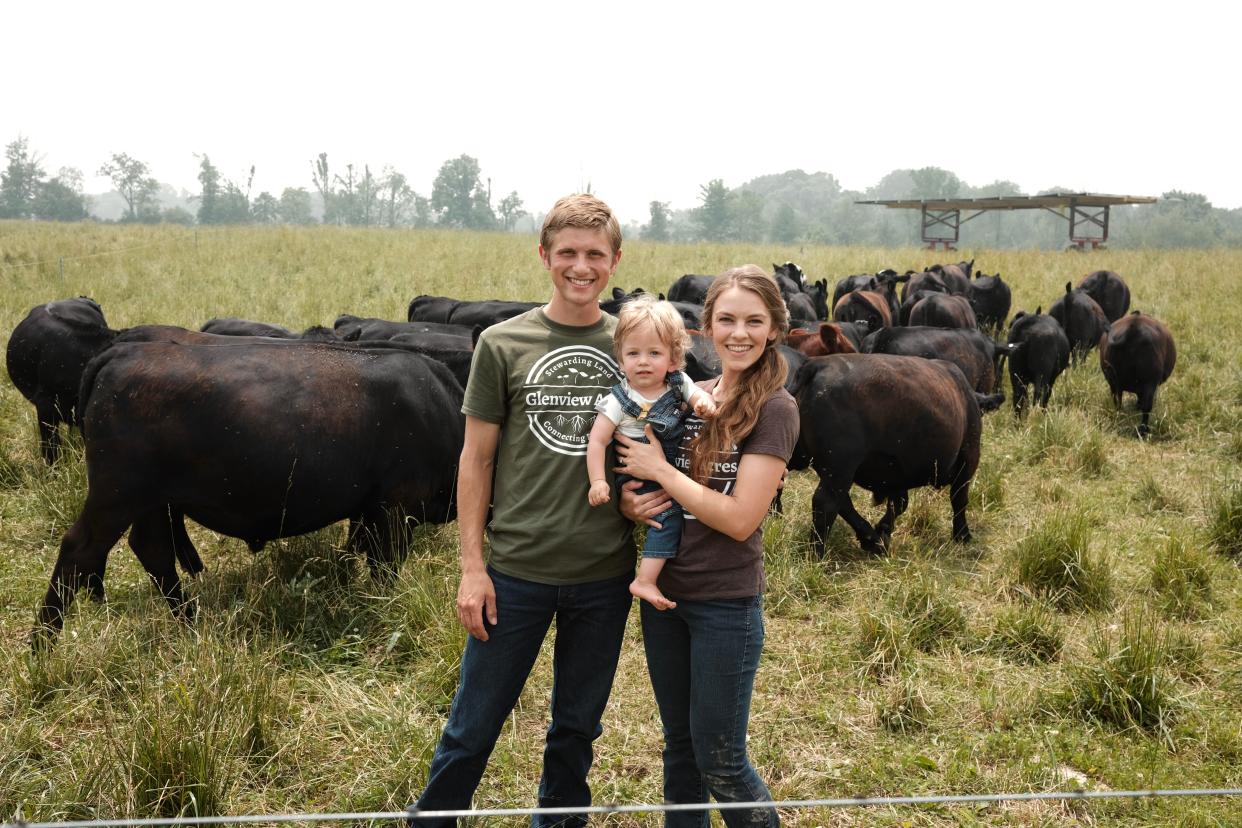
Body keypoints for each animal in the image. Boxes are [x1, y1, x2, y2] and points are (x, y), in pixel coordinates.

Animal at [37, 340, 466, 645]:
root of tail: (121, 353)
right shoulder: (396, 507)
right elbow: (385, 568)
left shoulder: (370, 510)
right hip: (117, 494)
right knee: (79, 549)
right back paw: (43, 642)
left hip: (151, 501)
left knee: (153, 551)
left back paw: (190, 622)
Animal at [789, 355, 1003, 556]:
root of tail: (817, 364)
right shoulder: (968, 458)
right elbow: (959, 499)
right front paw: (962, 535)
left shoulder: (896, 473)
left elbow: (899, 503)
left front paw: (883, 531)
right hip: (840, 468)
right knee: (826, 503)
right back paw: (817, 554)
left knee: (842, 503)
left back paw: (871, 539)